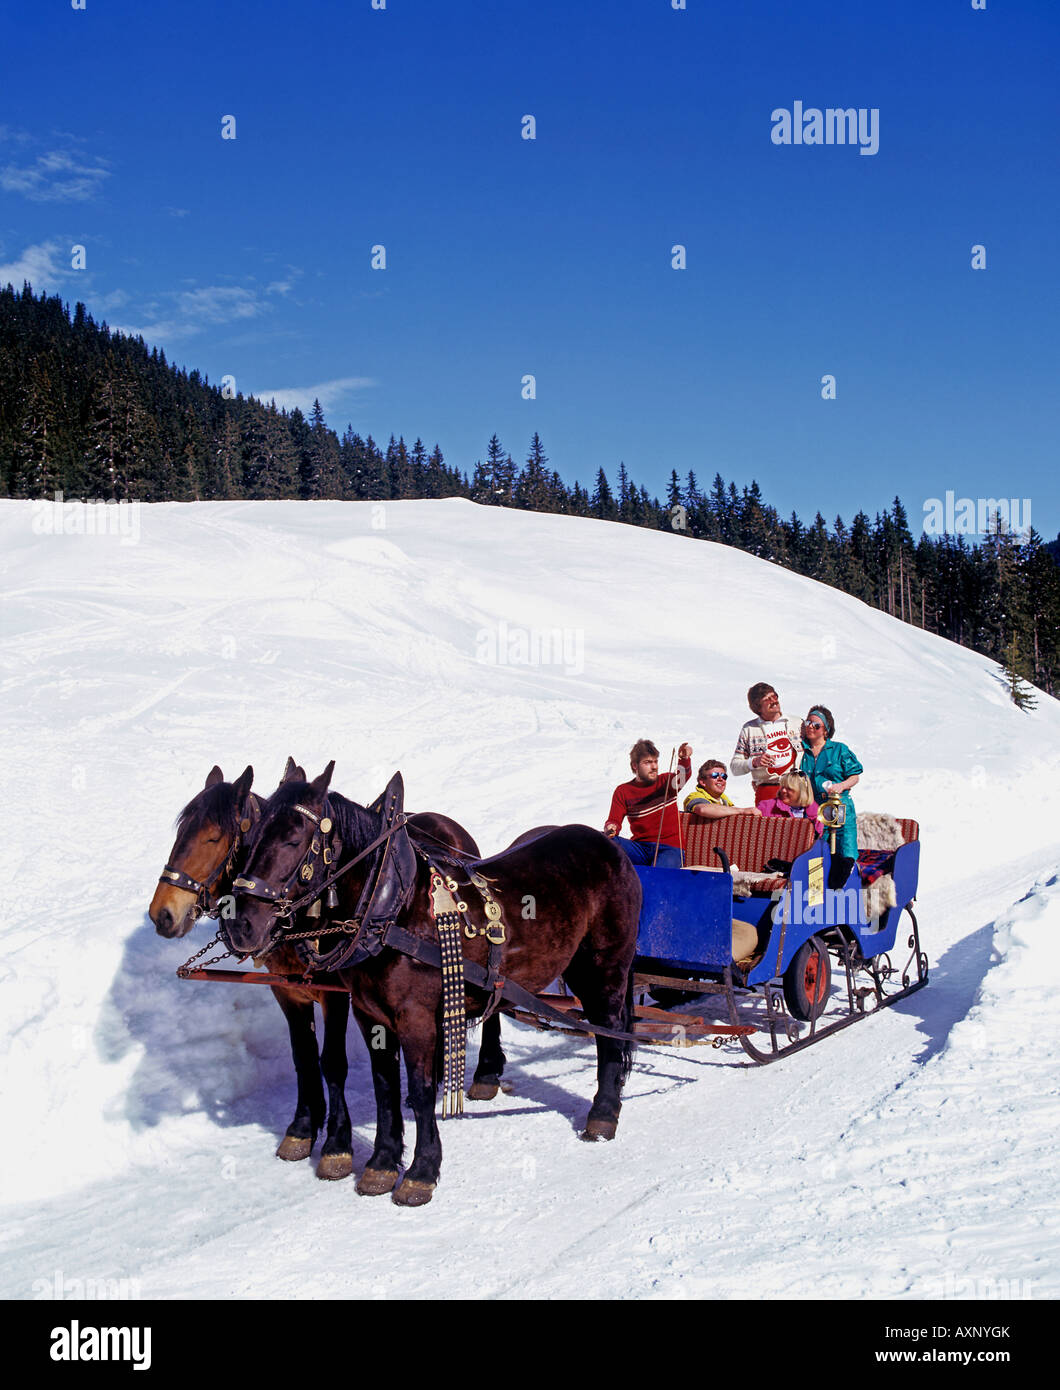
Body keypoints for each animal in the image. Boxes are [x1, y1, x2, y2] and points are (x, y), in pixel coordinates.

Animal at [226, 772, 639, 1206]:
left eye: (293, 839)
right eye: (251, 836)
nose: (240, 924)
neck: (393, 909)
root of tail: (608, 845)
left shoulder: (416, 1017)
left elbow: (421, 1090)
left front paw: (421, 1172)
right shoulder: (369, 1014)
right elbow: (385, 1088)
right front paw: (381, 1164)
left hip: (607, 966)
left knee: (609, 1032)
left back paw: (603, 1114)